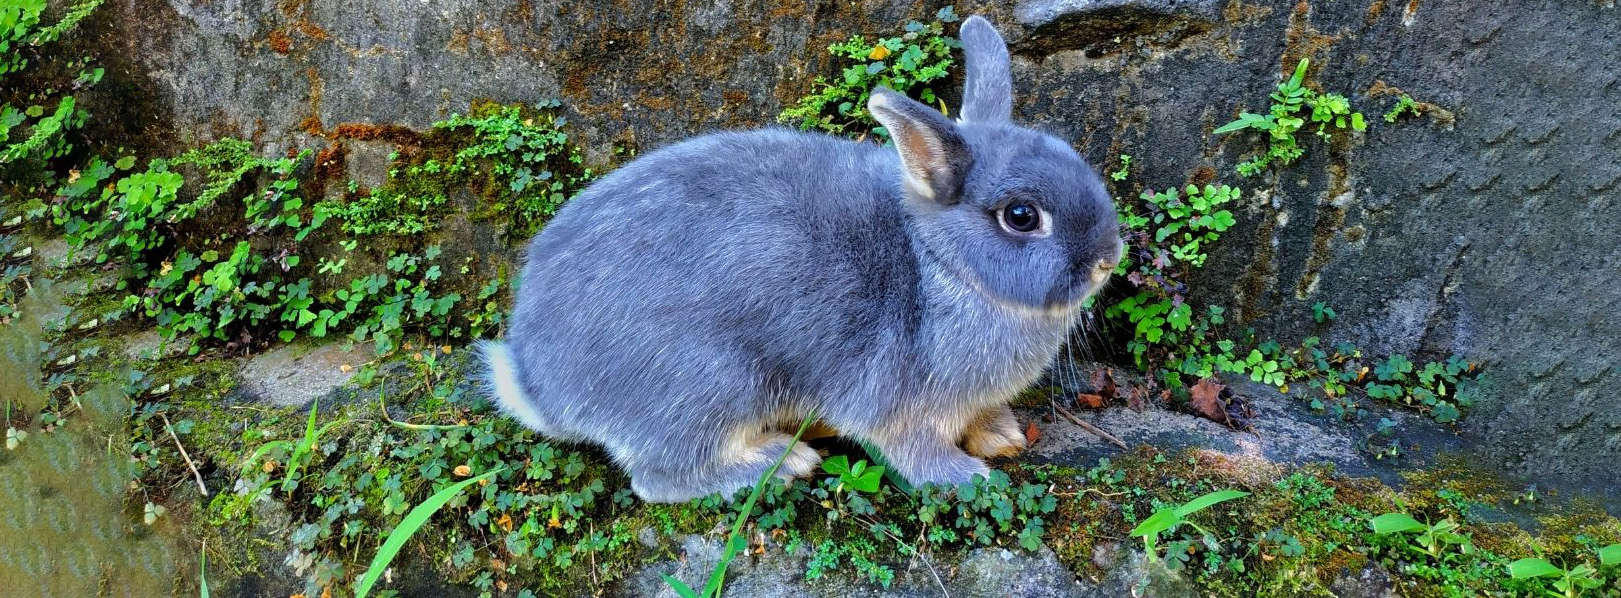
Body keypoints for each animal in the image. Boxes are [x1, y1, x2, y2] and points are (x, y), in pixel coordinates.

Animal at [480, 15, 1122, 503]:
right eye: (1022, 216)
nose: (1107, 259)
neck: (938, 264)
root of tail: (542, 386)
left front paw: (1002, 435)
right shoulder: (897, 402)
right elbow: (913, 451)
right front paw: (970, 476)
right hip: (712, 386)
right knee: (661, 478)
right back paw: (781, 463)